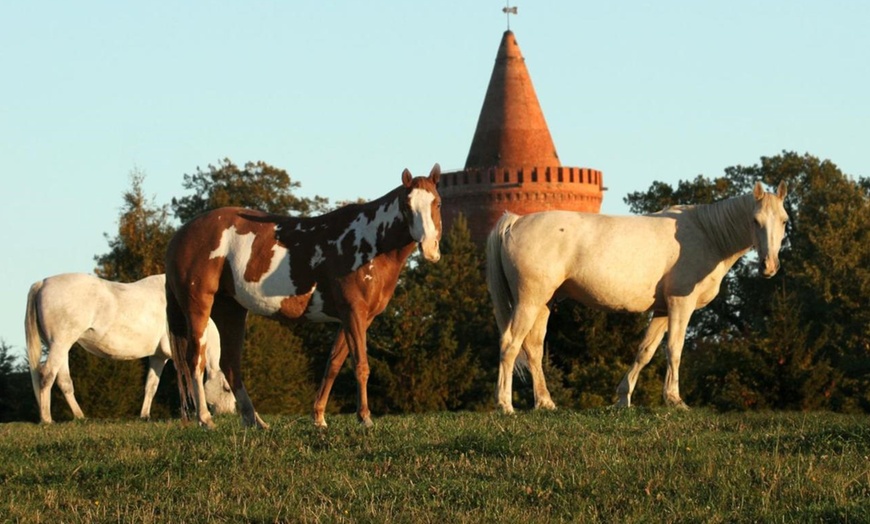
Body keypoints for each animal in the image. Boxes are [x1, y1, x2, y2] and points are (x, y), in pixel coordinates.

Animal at [166, 165, 442, 430]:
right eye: (407, 205)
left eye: (437, 203)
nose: (430, 248)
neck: (371, 242)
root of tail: (181, 234)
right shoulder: (354, 312)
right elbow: (361, 366)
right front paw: (364, 418)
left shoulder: (356, 318)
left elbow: (333, 364)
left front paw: (319, 417)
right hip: (198, 306)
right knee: (195, 359)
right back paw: (205, 419)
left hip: (231, 309)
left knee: (230, 364)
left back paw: (255, 421)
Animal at [488, 180, 792, 414]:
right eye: (755, 221)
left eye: (784, 221)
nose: (769, 266)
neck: (707, 234)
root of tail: (515, 221)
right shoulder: (680, 304)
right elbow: (674, 349)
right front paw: (674, 399)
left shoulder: (663, 309)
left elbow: (645, 351)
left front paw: (623, 398)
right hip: (529, 301)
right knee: (510, 344)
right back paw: (505, 405)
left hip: (544, 303)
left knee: (533, 349)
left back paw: (545, 403)